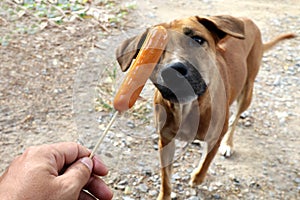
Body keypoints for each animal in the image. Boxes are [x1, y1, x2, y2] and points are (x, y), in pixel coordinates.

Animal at [115, 15, 296, 198]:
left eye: (197, 40)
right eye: (155, 50)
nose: (174, 71)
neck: (187, 107)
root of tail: (246, 20)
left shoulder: (216, 136)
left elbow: (207, 160)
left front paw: (197, 178)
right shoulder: (165, 141)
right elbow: (165, 178)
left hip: (247, 92)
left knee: (236, 118)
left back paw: (228, 144)